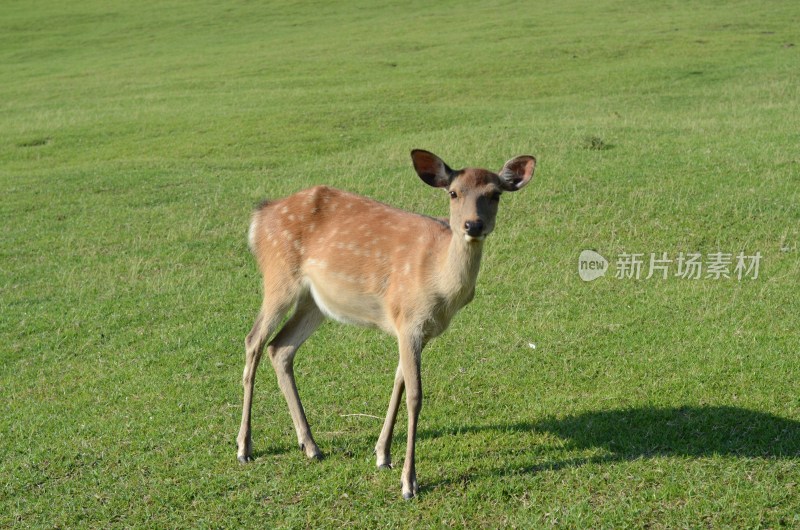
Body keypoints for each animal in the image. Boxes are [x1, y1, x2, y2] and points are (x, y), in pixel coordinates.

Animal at [238, 147, 536, 496]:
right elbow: (415, 396)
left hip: (316, 301)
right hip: (279, 276)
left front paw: (382, 455)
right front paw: (409, 482)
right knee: (254, 340)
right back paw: (244, 447)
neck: (440, 284)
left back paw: (310, 445)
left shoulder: (417, 330)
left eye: (495, 194)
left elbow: (398, 382)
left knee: (280, 347)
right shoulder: (408, 320)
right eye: (453, 192)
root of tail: (259, 217)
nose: (472, 225)